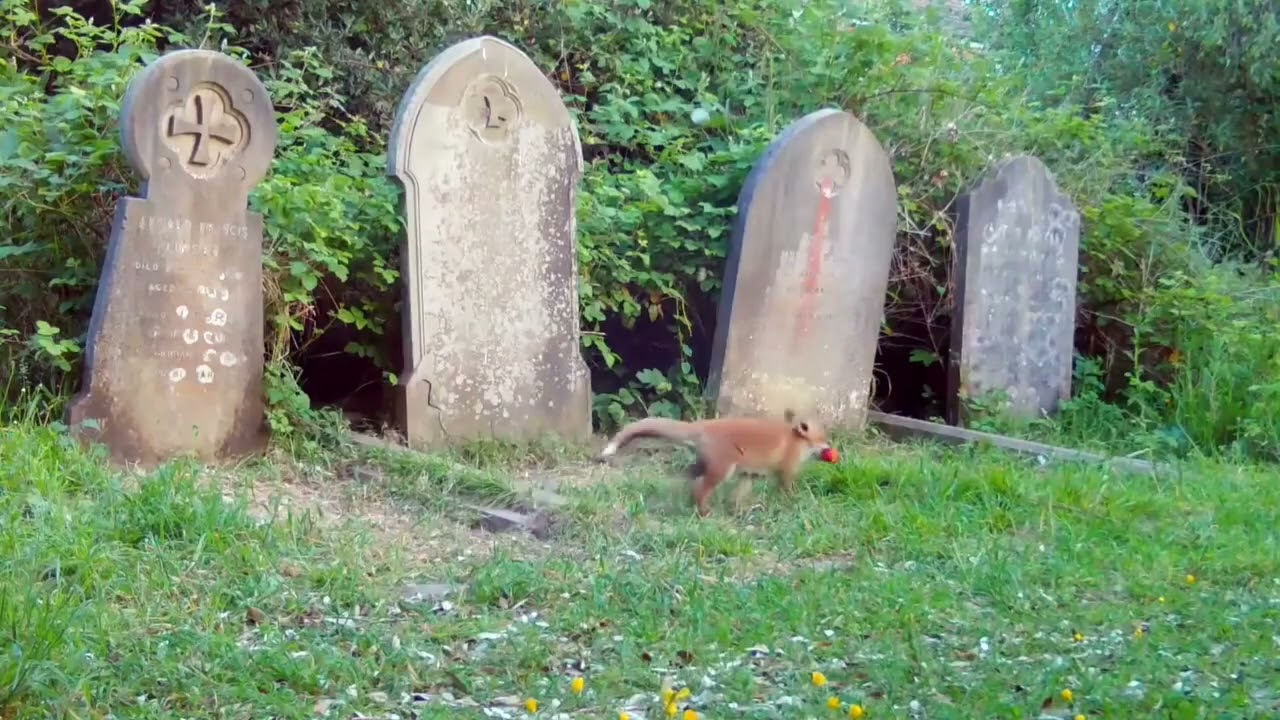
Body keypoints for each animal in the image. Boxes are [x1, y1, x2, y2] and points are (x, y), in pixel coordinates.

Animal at [598, 409, 840, 517]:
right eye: (825, 440)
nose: (833, 452)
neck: (796, 442)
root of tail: (703, 424)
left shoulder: (750, 474)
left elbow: (739, 496)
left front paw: (740, 510)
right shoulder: (787, 470)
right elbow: (788, 490)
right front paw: (795, 503)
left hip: (707, 466)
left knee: (689, 482)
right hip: (722, 470)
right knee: (700, 489)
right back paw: (704, 512)